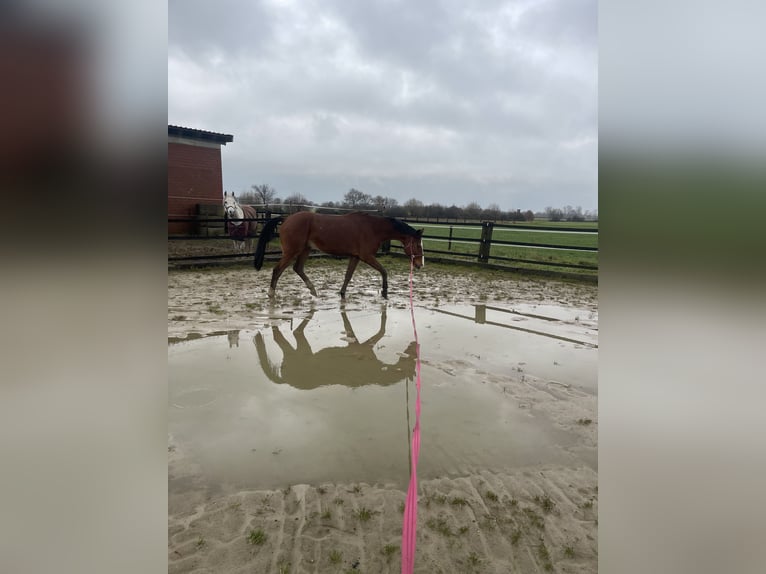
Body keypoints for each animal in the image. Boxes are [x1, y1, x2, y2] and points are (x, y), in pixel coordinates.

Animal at [256, 213, 426, 302]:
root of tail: (286, 218)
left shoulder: (355, 256)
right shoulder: (367, 256)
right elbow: (384, 271)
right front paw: (384, 293)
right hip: (292, 252)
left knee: (298, 268)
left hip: (305, 250)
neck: (372, 228)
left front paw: (342, 294)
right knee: (277, 270)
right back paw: (271, 295)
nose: (420, 264)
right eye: (418, 245)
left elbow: (348, 276)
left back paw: (314, 291)